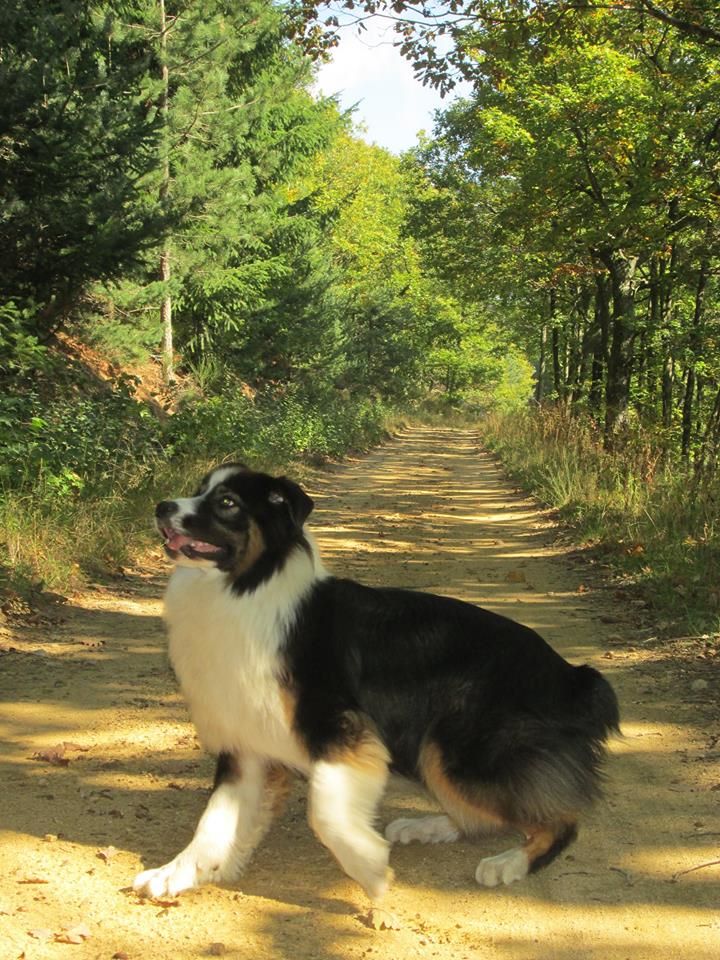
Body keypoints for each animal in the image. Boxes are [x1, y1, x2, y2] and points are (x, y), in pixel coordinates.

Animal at [134, 462, 620, 904]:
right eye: (200, 489)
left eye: (227, 503)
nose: (161, 506)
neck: (244, 587)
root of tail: (573, 678)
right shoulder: (245, 742)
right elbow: (214, 821)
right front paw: (178, 872)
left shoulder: (341, 727)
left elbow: (325, 812)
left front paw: (367, 867)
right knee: (482, 817)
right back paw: (428, 825)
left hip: (458, 747)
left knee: (560, 820)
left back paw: (508, 861)